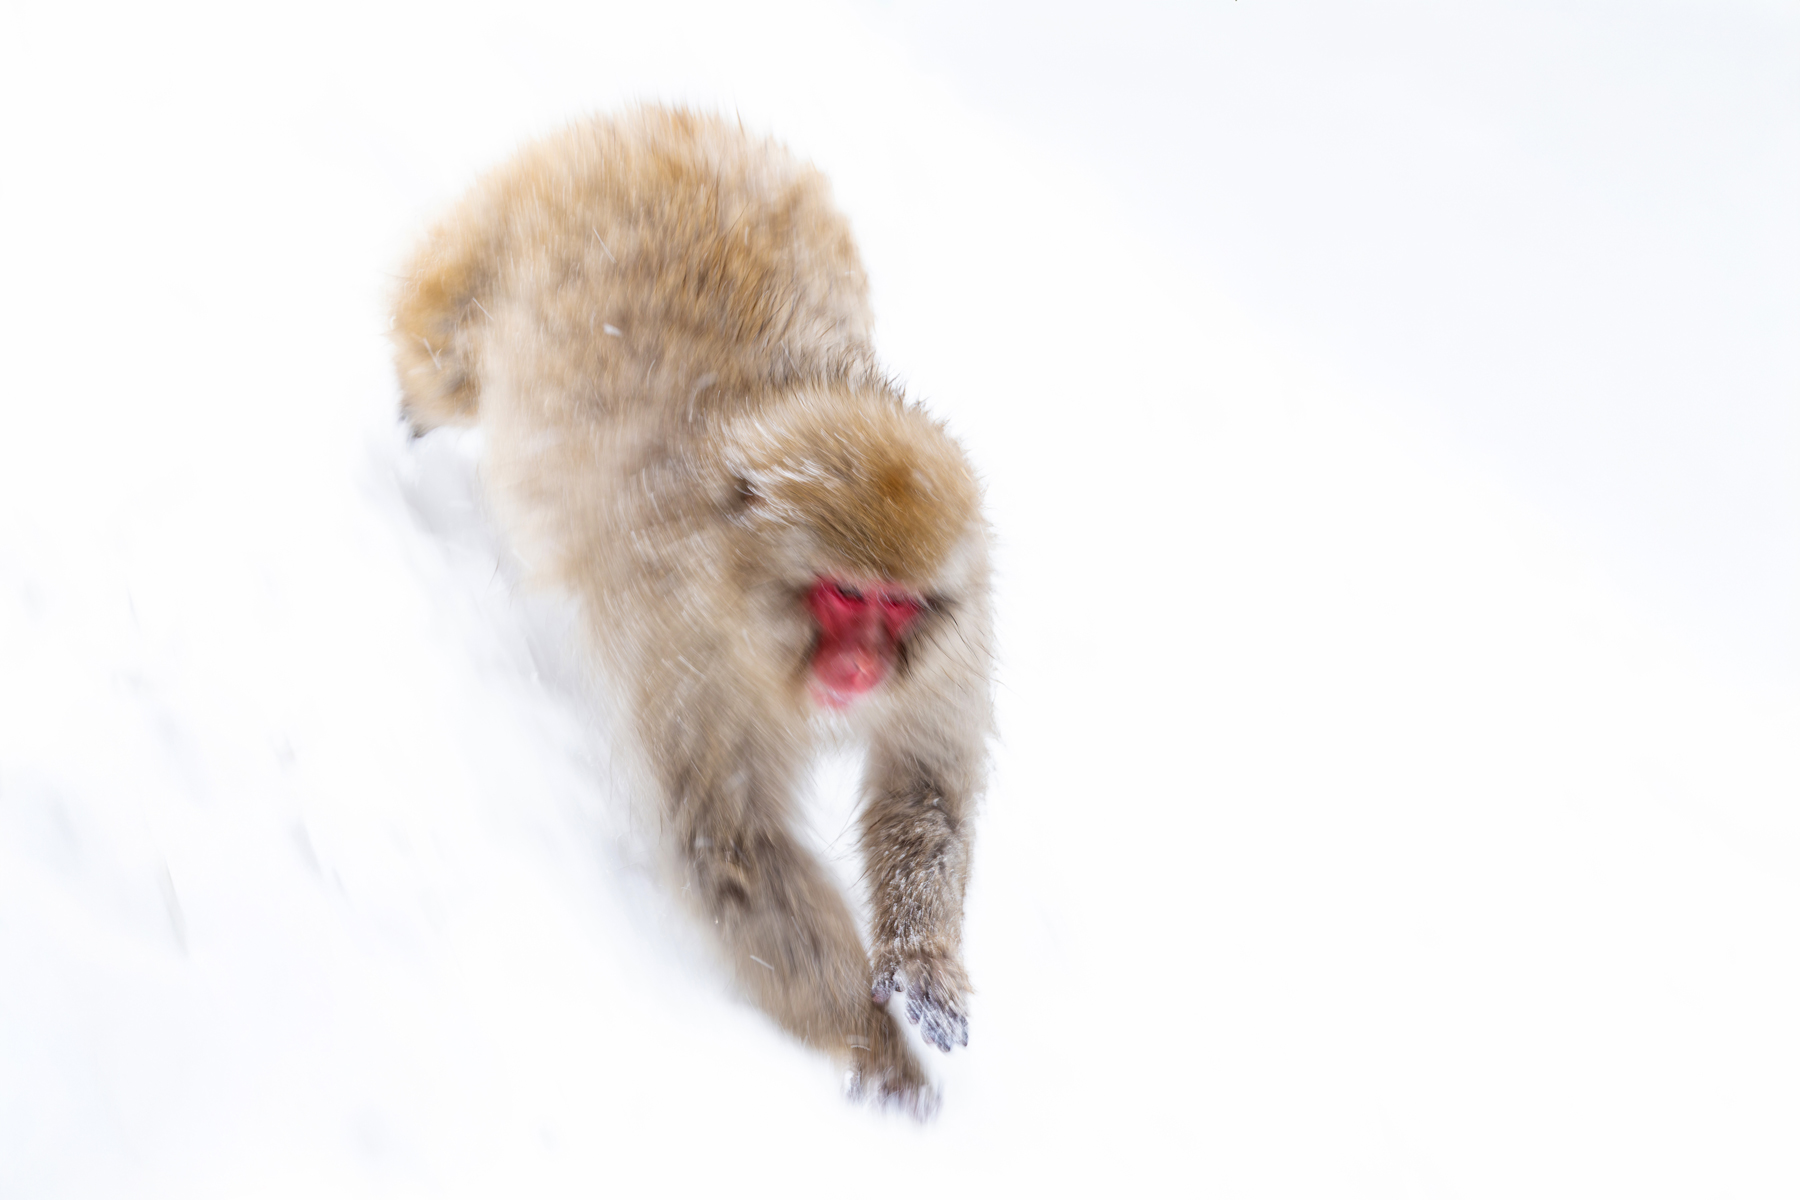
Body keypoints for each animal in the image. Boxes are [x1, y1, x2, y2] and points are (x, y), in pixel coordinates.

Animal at [390, 108, 993, 1113]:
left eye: (896, 606)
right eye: (844, 593)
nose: (863, 666)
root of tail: (680, 124)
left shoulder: (956, 643)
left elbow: (925, 789)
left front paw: (921, 965)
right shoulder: (694, 664)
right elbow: (736, 846)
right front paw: (878, 1057)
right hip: (506, 236)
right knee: (440, 354)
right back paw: (415, 399)